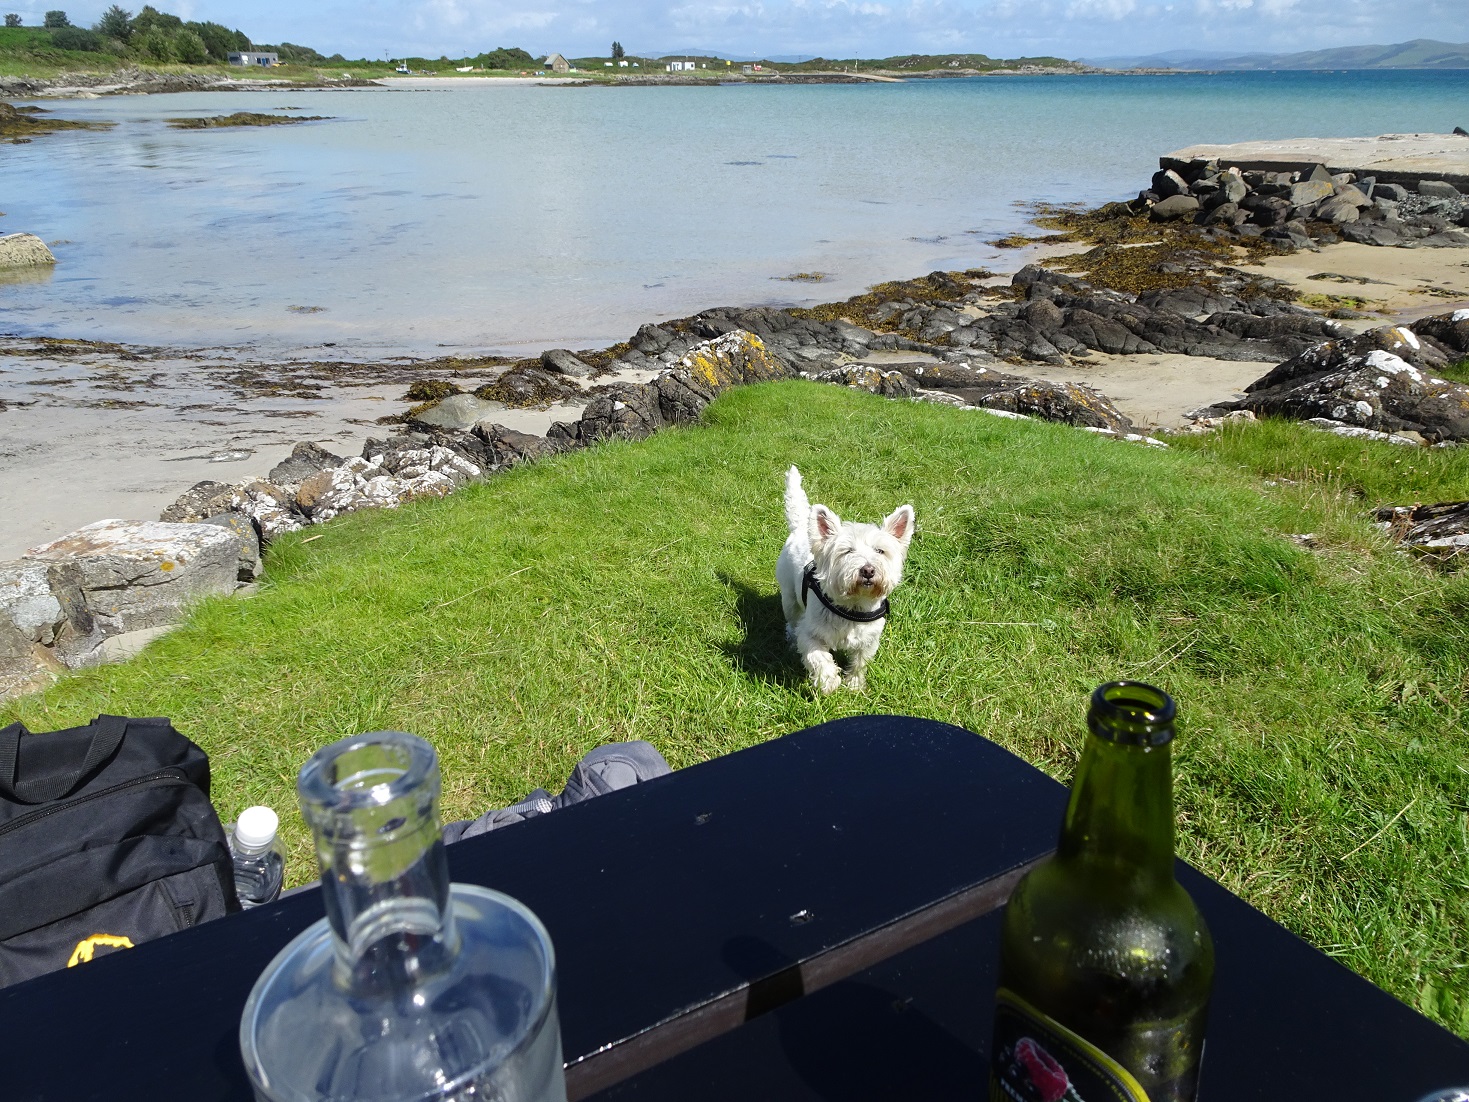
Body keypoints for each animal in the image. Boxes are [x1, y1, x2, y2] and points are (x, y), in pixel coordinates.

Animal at [775, 467, 910, 693]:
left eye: (880, 551)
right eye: (847, 551)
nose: (868, 570)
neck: (853, 608)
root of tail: (801, 528)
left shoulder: (869, 640)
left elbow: (860, 662)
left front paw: (855, 684)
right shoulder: (811, 633)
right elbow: (819, 657)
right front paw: (829, 681)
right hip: (789, 597)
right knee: (792, 622)